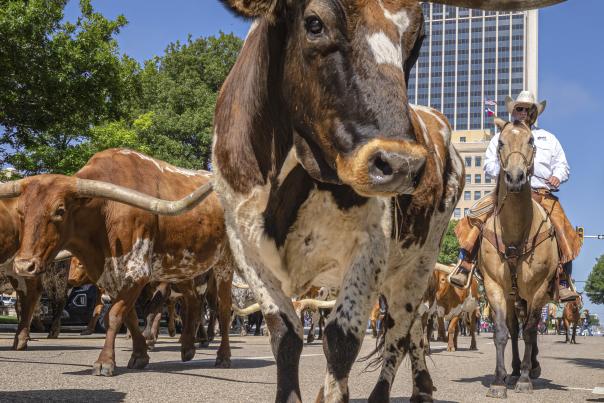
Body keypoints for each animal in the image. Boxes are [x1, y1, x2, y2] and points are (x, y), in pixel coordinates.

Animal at [0, 150, 234, 378]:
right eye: (21, 212)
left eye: (60, 210)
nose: (24, 266)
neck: (104, 212)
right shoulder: (109, 277)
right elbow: (129, 316)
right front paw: (140, 355)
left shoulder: (137, 272)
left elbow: (115, 315)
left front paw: (105, 362)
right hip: (180, 266)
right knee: (193, 300)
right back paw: (187, 347)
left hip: (224, 263)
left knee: (223, 308)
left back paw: (223, 356)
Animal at [478, 118, 560, 400]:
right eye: (500, 142)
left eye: (531, 141)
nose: (515, 177)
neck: (515, 232)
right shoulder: (494, 286)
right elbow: (502, 332)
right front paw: (499, 381)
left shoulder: (538, 289)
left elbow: (532, 331)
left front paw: (525, 378)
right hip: (513, 296)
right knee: (515, 329)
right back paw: (512, 371)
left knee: (530, 330)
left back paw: (529, 368)